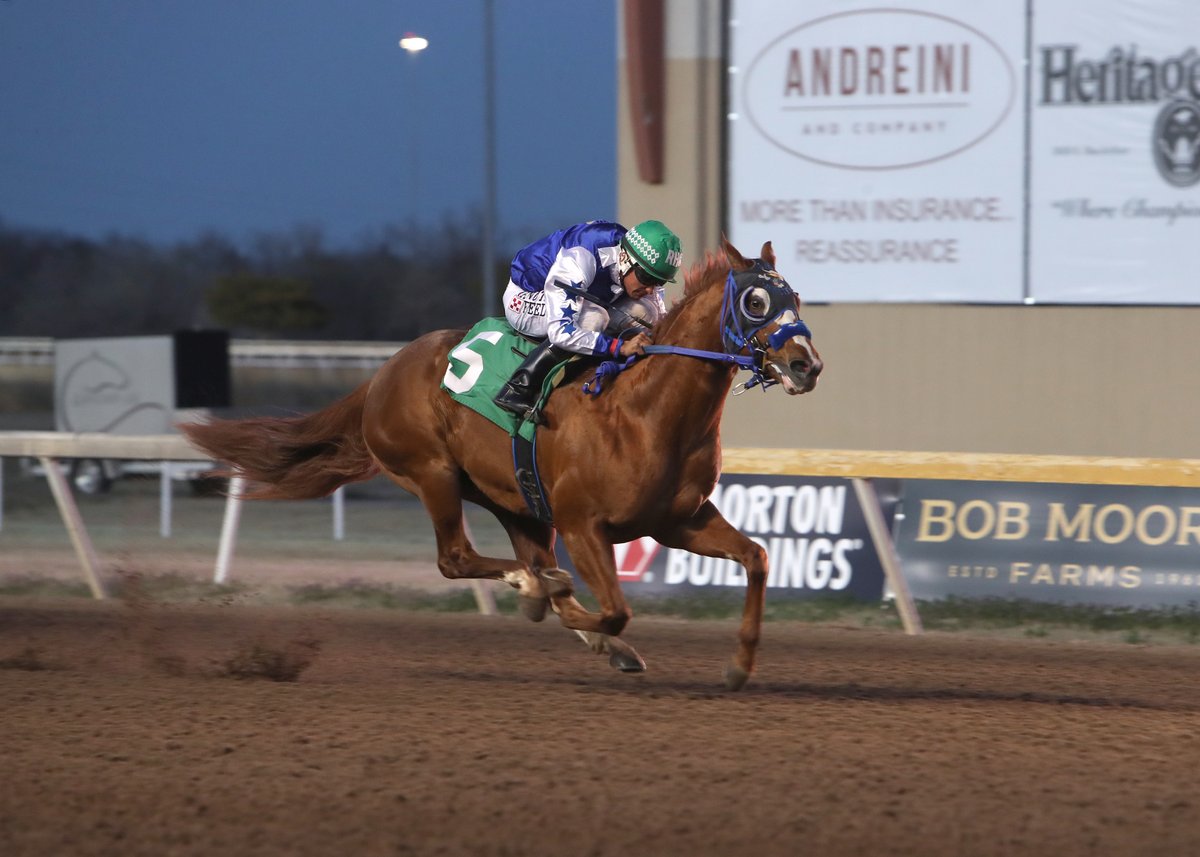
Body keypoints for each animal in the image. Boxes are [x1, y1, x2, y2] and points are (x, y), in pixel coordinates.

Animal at [180, 237, 822, 690]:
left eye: (795, 297)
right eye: (756, 300)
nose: (806, 365)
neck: (644, 411)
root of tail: (382, 374)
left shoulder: (677, 520)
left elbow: (758, 558)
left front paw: (738, 667)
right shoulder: (584, 525)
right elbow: (614, 610)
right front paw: (564, 612)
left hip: (516, 501)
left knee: (522, 555)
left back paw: (559, 602)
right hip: (432, 473)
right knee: (457, 559)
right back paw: (534, 590)